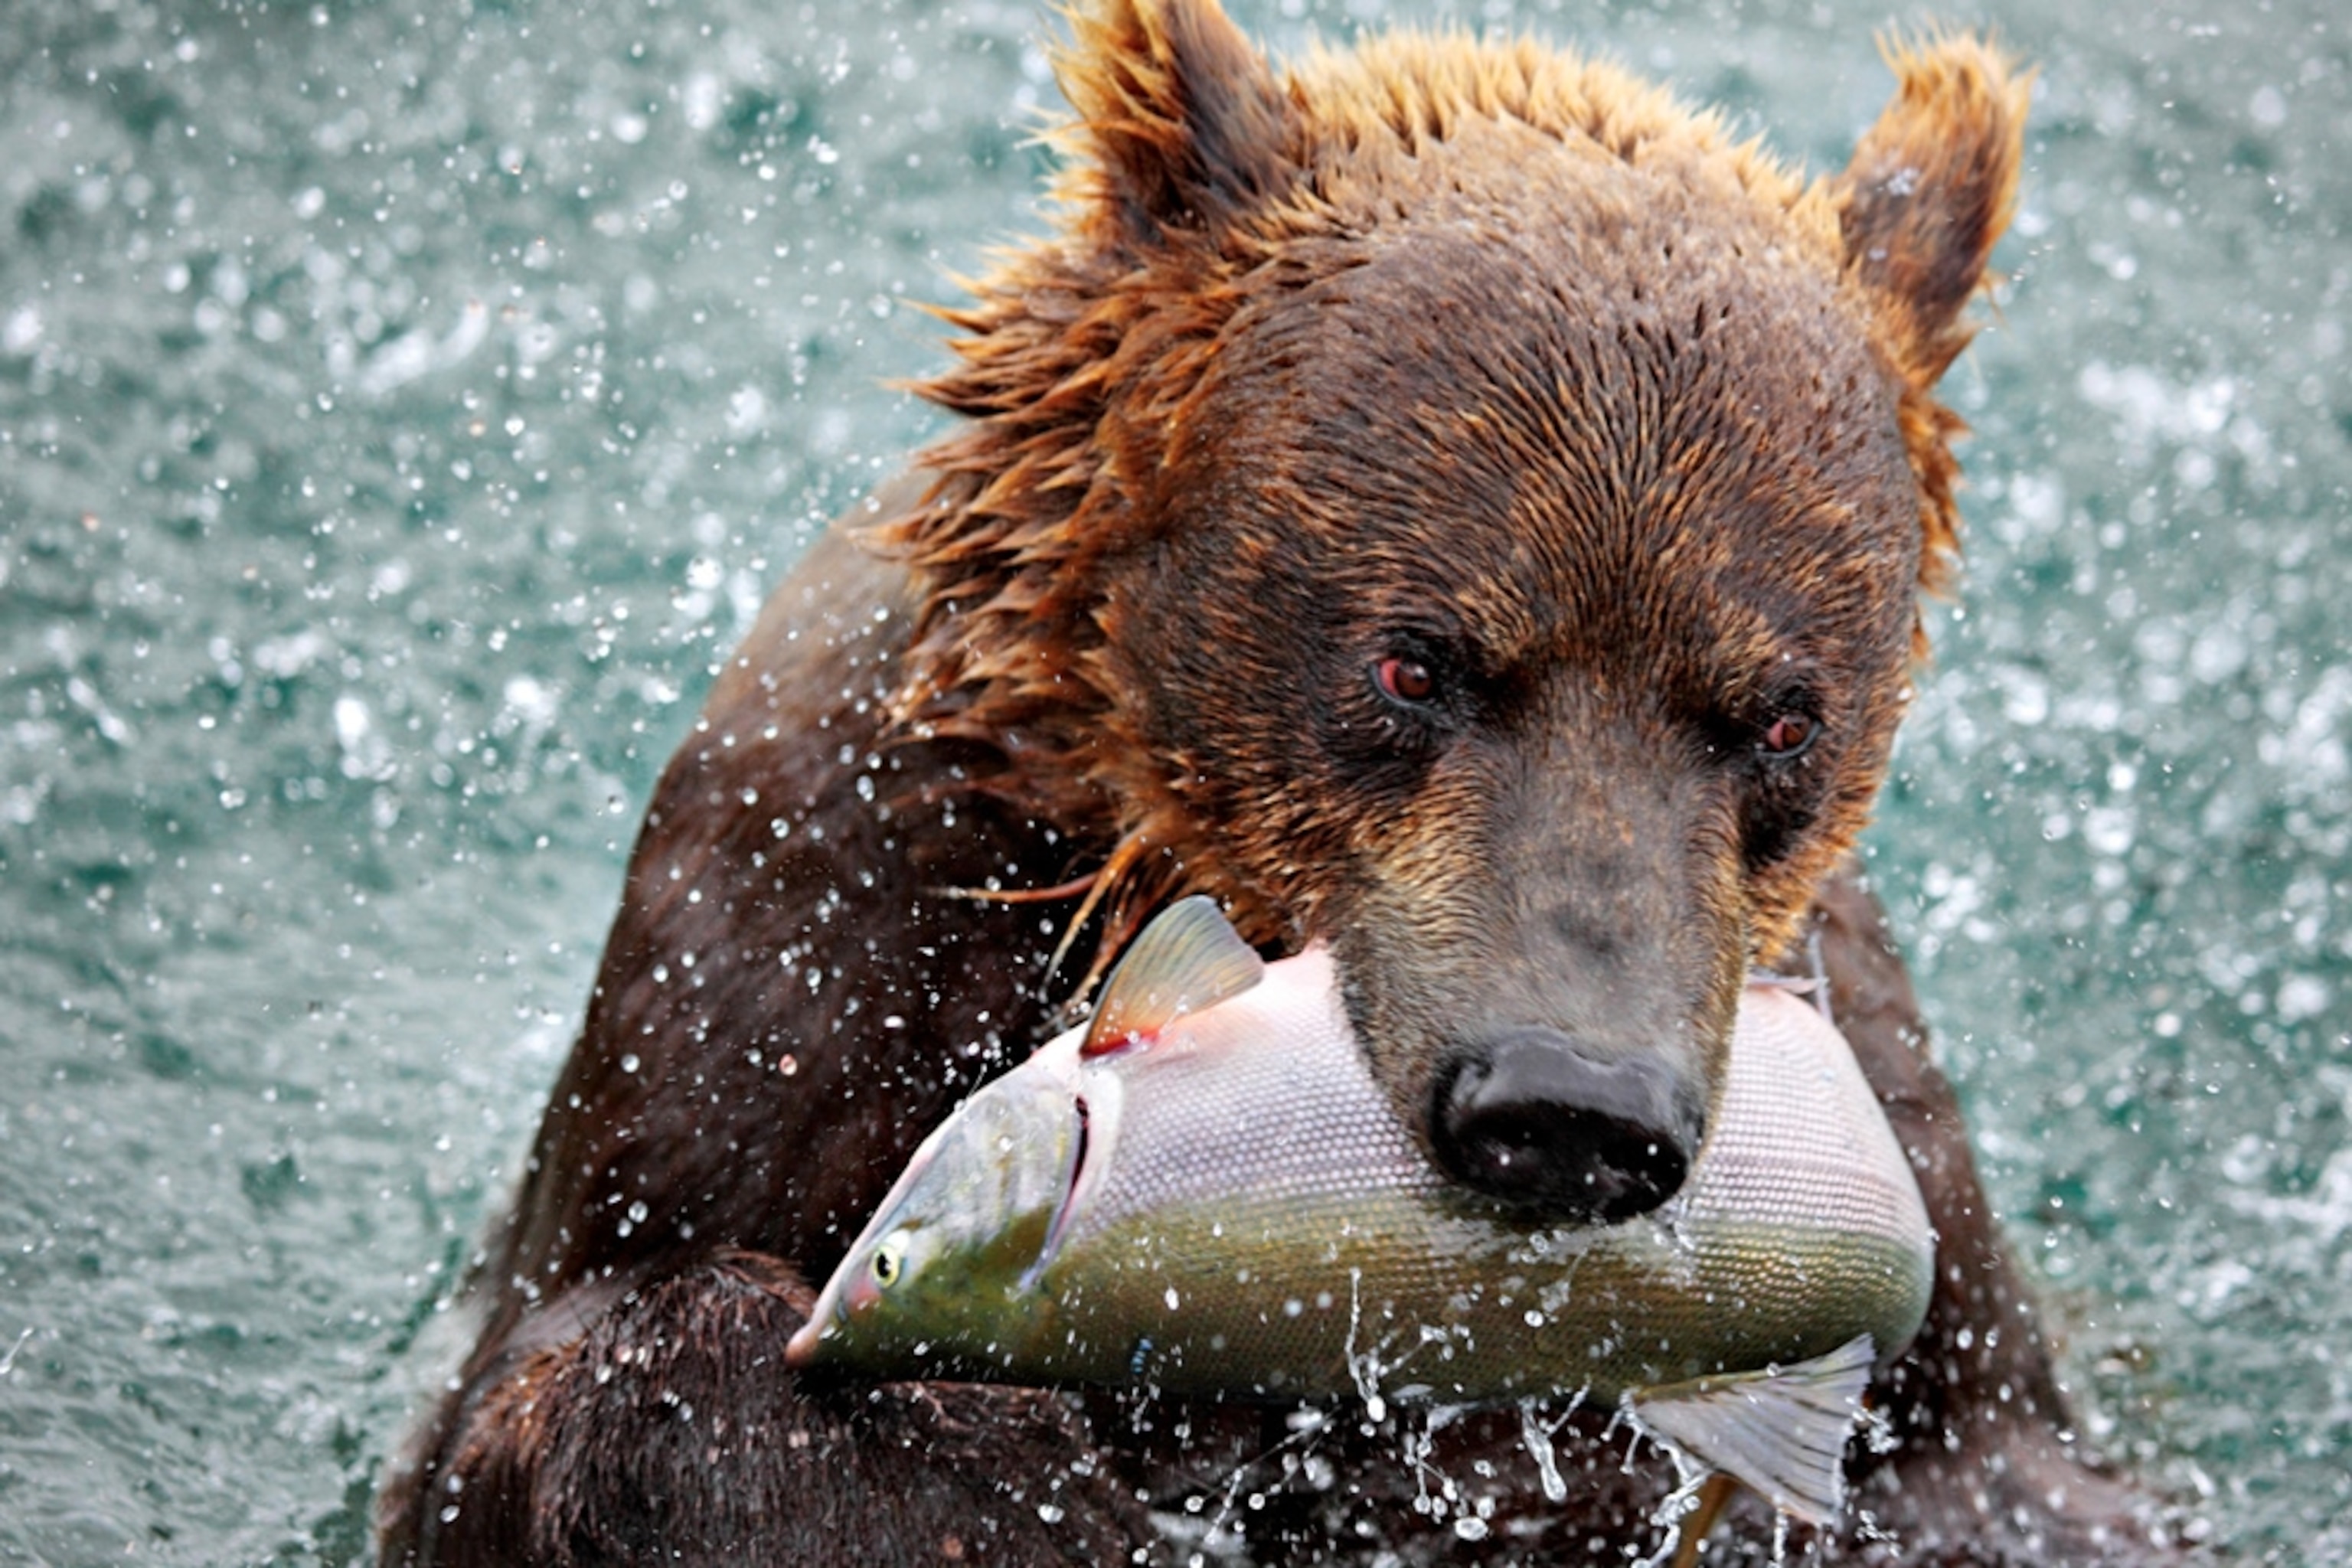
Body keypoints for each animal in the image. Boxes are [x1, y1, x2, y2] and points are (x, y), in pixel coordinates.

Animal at [379, 2, 2183, 1563]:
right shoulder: (787, 935)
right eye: (1417, 660)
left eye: (1777, 717)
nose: (1571, 1099)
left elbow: (1998, 1474)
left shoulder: (1879, 1121)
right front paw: (1000, 1475)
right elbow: (569, 1363)